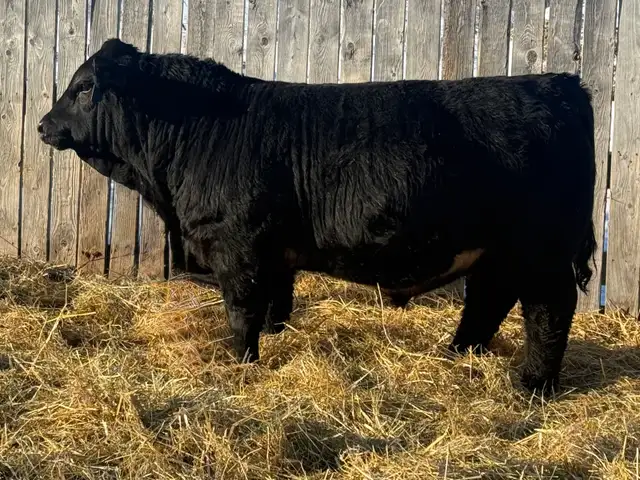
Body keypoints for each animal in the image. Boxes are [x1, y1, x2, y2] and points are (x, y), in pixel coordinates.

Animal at [38, 38, 597, 393]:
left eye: (84, 87)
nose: (43, 124)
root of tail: (559, 83)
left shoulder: (237, 245)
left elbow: (242, 311)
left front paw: (242, 364)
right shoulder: (272, 251)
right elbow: (275, 305)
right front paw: (272, 343)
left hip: (540, 250)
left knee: (548, 310)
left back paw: (533, 386)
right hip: (499, 250)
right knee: (488, 300)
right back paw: (458, 355)